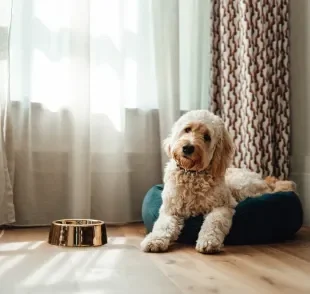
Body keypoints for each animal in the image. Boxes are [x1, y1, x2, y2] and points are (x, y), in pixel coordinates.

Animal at [140, 109, 296, 254]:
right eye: (187, 129)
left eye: (207, 137)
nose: (188, 147)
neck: (192, 174)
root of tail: (264, 180)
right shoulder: (170, 209)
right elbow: (162, 226)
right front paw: (155, 240)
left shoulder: (222, 206)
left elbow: (214, 222)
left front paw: (208, 241)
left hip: (241, 187)